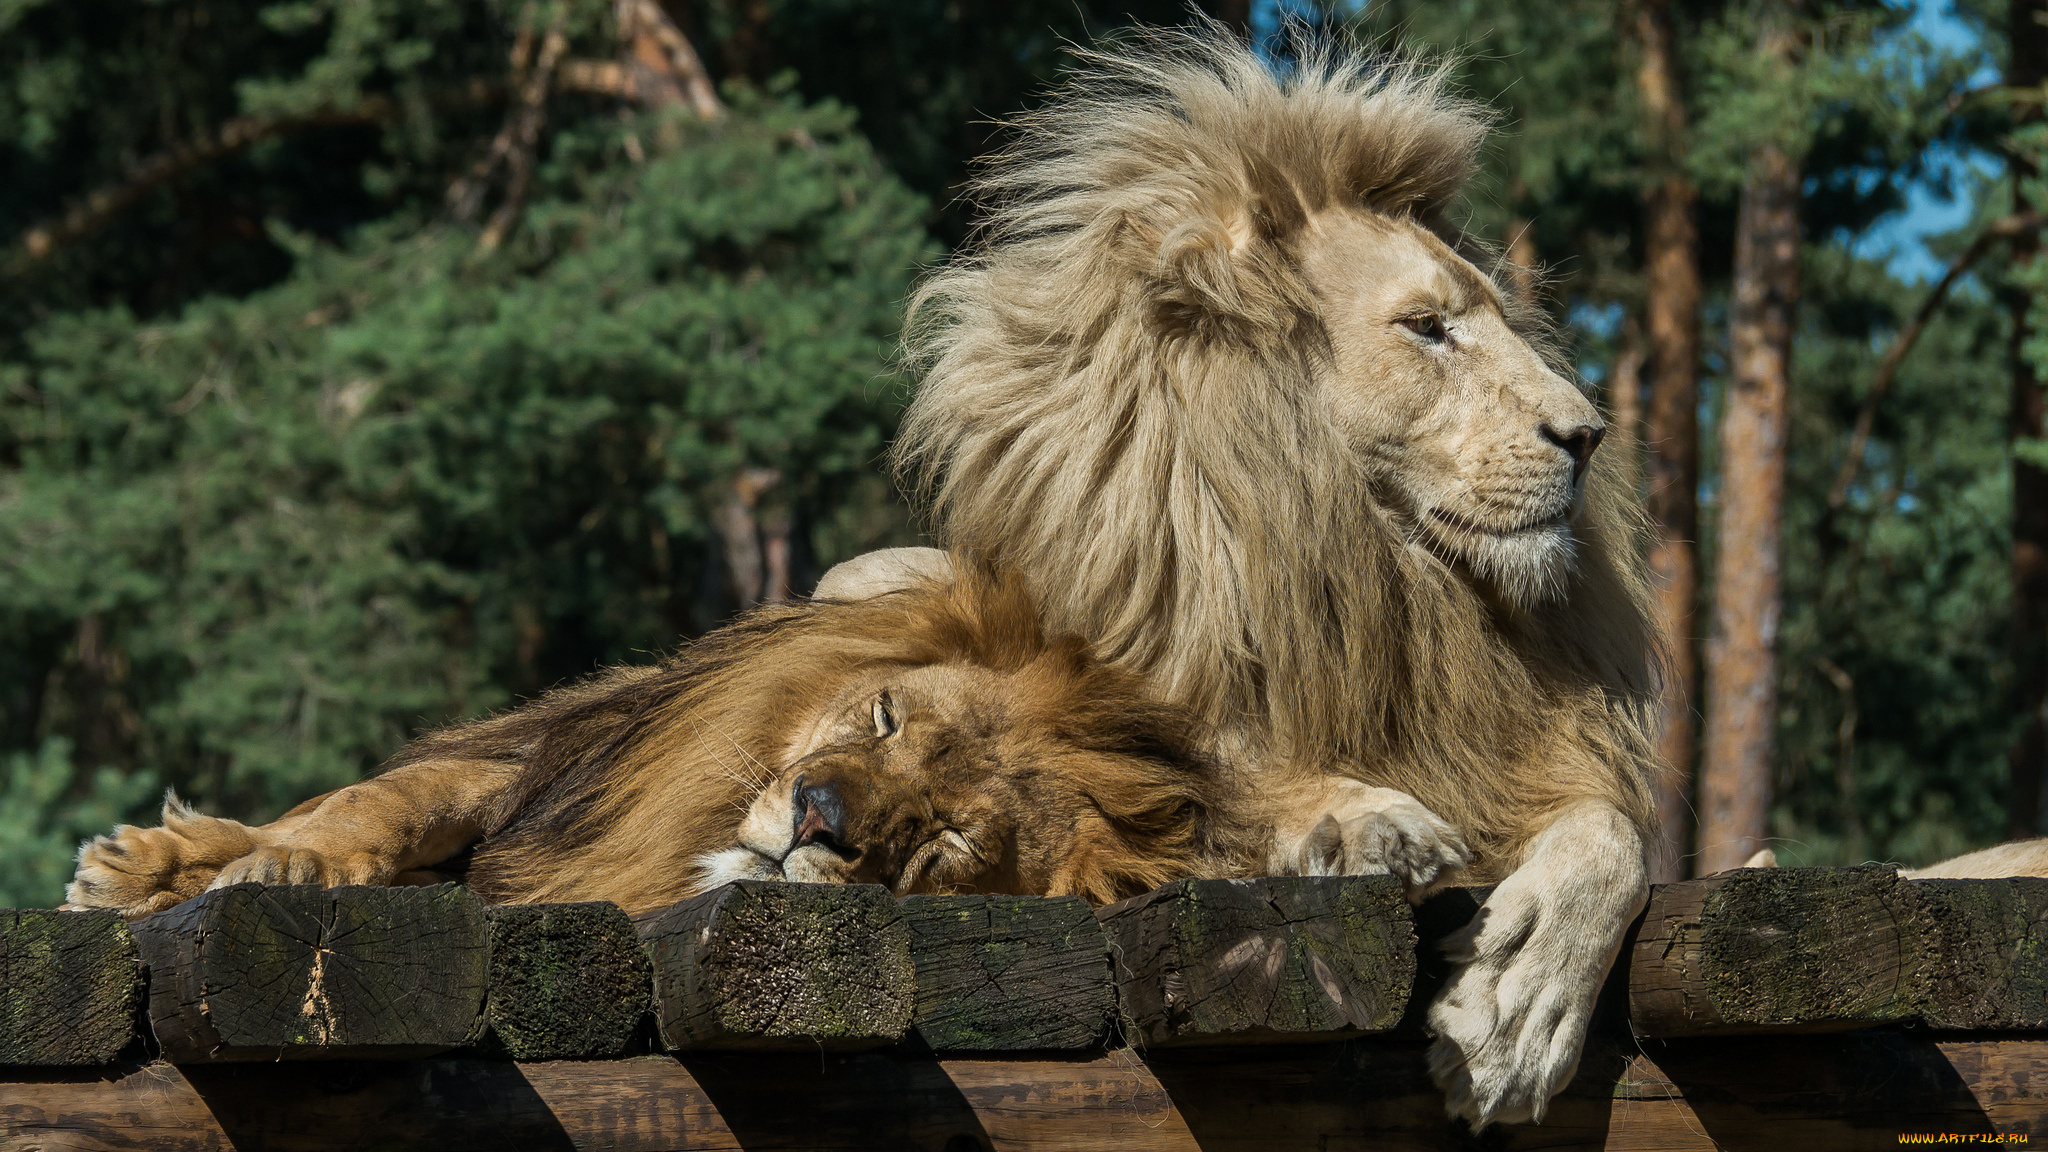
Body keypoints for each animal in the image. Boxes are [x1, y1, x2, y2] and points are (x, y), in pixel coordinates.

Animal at [59, 569, 1441, 918]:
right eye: (885, 718)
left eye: (949, 840)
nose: (821, 822)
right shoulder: (547, 775)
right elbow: (379, 809)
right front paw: (272, 868)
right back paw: (136, 865)